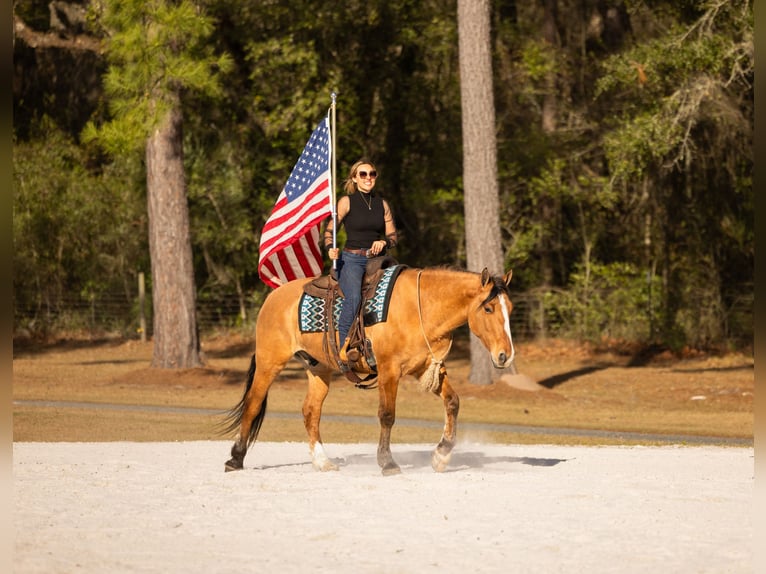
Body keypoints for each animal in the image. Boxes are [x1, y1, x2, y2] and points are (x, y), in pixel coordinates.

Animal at [223, 266, 515, 476]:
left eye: (509, 309)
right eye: (488, 308)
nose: (505, 355)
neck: (420, 306)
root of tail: (273, 296)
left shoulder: (426, 368)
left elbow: (453, 402)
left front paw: (441, 455)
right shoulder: (389, 370)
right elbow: (387, 415)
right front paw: (388, 463)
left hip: (319, 369)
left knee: (310, 411)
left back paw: (322, 462)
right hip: (269, 362)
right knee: (253, 403)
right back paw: (235, 459)